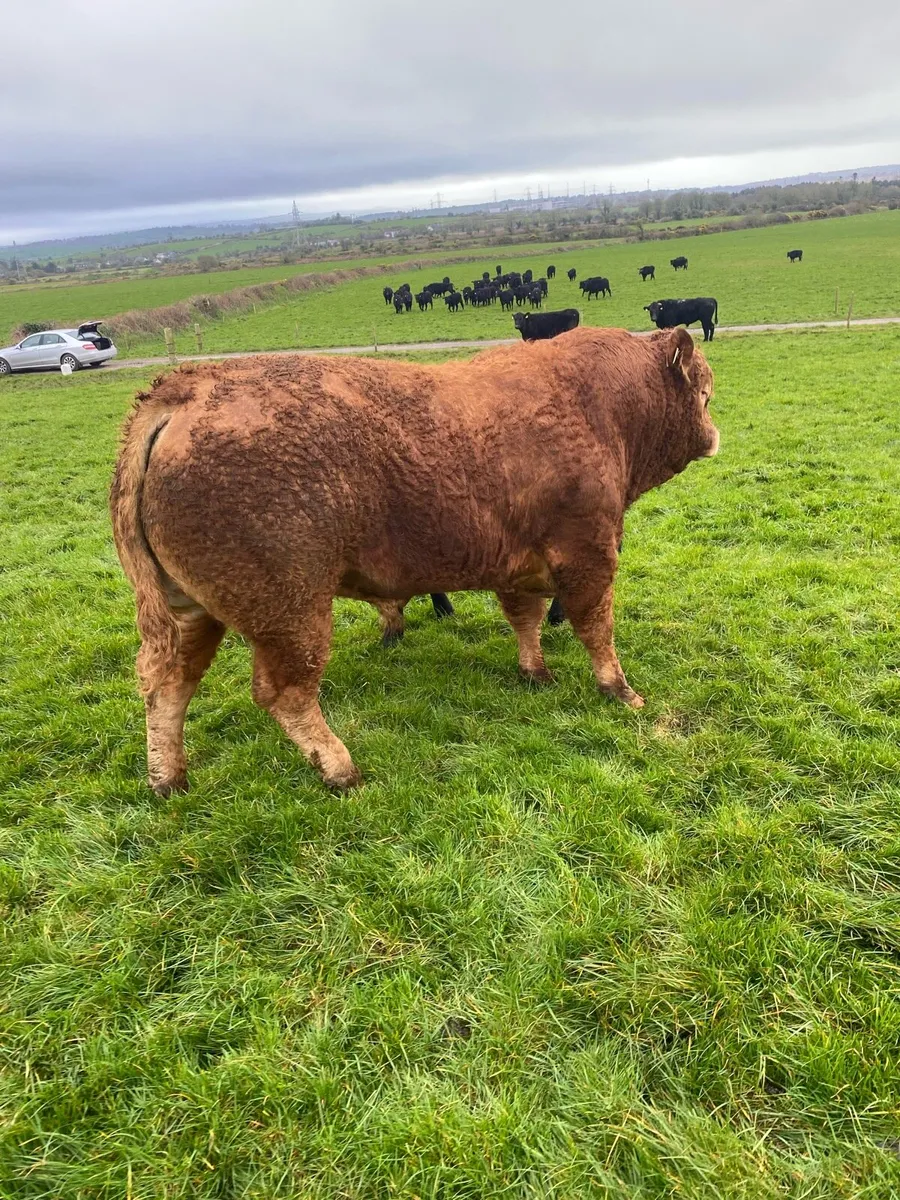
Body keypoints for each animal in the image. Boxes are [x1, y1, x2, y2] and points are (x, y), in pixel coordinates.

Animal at [111, 327, 718, 791]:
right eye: (706, 394)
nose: (715, 433)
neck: (600, 406)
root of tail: (189, 388)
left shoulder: (519, 565)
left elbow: (524, 620)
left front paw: (536, 671)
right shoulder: (589, 553)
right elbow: (596, 628)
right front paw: (619, 690)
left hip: (186, 613)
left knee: (166, 684)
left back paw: (168, 778)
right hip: (290, 612)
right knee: (284, 692)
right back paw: (340, 769)